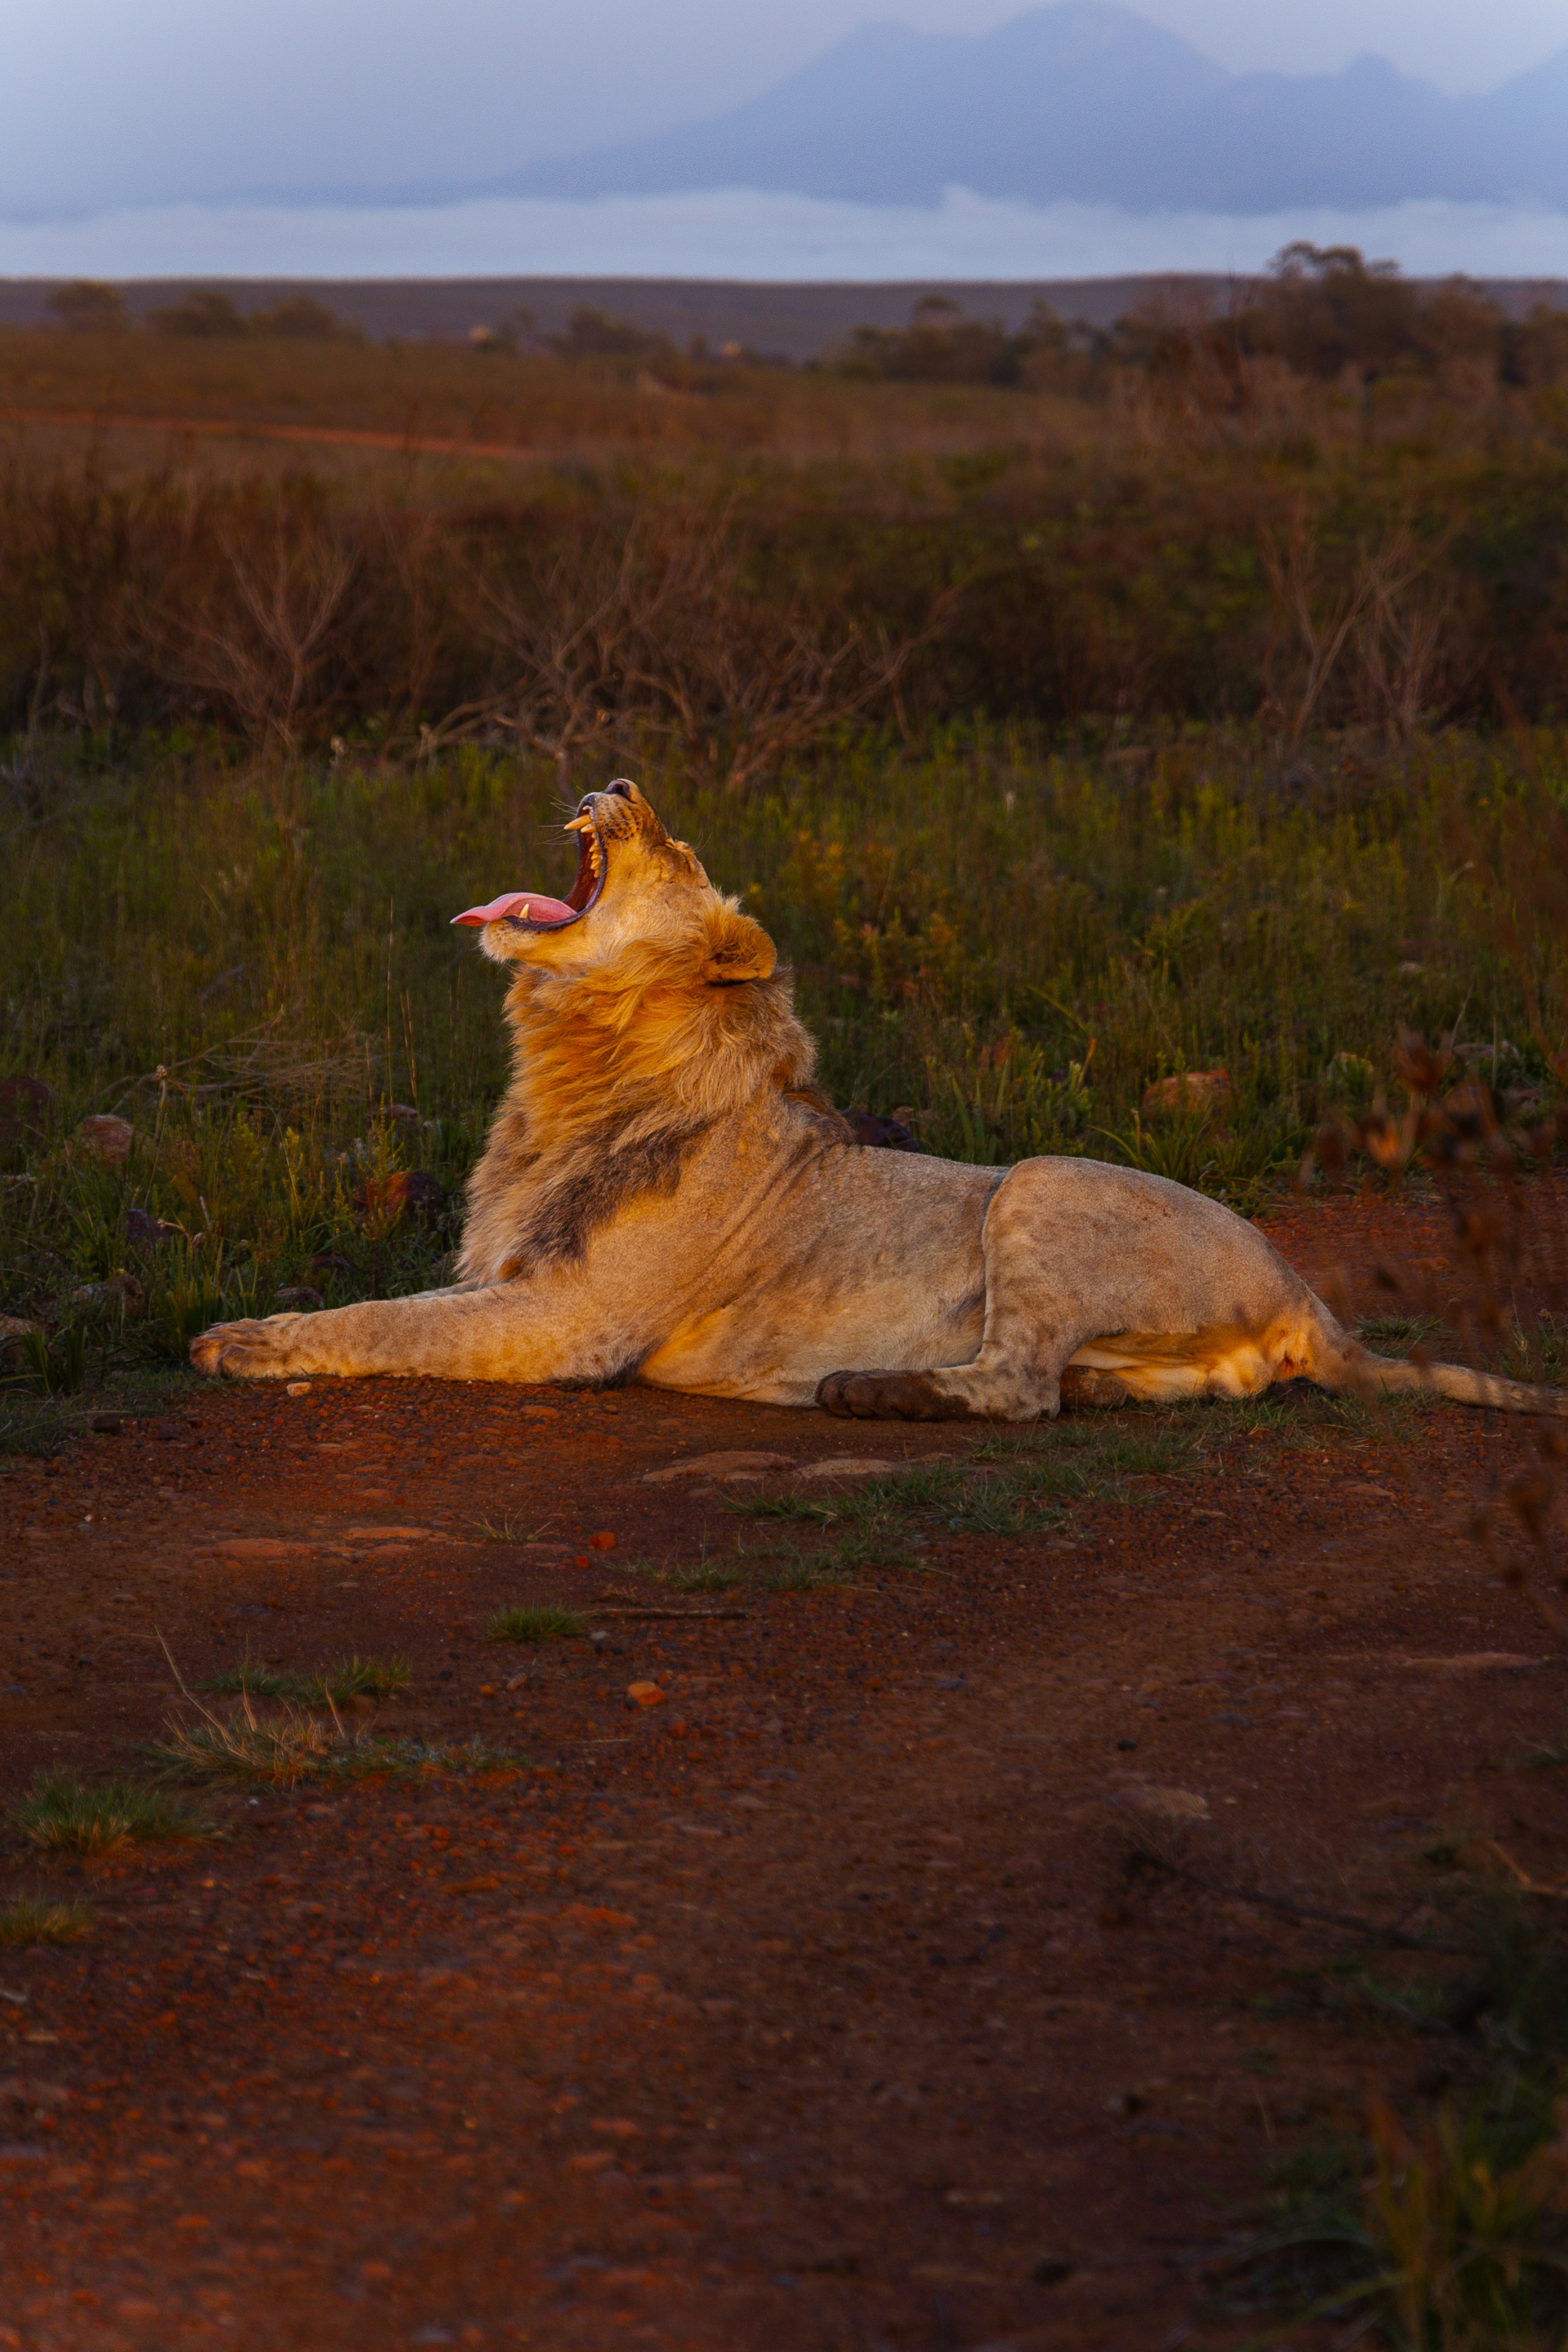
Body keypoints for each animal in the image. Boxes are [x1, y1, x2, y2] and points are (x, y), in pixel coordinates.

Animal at [191, 780, 1568, 1423]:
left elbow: (390, 1320)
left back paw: (868, 1390)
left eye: (674, 846)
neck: (573, 1063)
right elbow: (406, 1302)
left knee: (1016, 1382)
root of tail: (1306, 1293)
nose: (616, 779)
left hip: (1040, 1183)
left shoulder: (570, 1321)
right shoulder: (512, 1275)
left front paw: (243, 1339)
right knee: (1060, 1386)